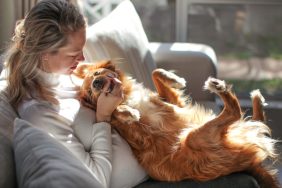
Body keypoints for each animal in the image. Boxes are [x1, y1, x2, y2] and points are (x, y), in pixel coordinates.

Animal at [74, 60, 280, 188]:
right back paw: (220, 88)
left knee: (256, 120)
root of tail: (248, 165)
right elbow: (115, 113)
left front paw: (175, 80)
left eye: (97, 73)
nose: (97, 83)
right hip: (193, 139)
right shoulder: (138, 133)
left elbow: (155, 73)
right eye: (91, 93)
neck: (127, 95)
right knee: (234, 111)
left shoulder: (174, 103)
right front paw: (128, 112)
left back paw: (257, 100)